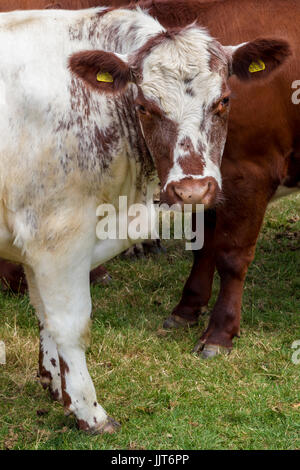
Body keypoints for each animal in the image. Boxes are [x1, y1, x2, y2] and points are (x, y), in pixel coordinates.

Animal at [0, 1, 290, 434]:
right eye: (145, 107)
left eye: (223, 100)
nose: (193, 190)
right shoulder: (57, 236)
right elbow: (69, 325)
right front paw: (89, 411)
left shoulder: (39, 245)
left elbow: (44, 316)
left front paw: (55, 384)